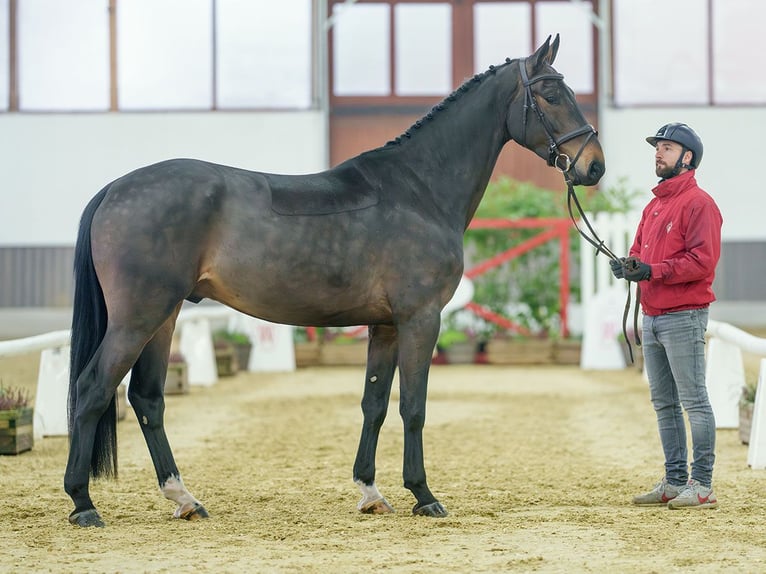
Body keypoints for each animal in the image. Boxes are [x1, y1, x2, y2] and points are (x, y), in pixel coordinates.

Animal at [66, 33, 608, 528]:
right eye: (551, 93)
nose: (594, 165)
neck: (419, 190)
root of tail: (114, 189)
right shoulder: (420, 319)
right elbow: (413, 406)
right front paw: (424, 495)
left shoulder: (385, 326)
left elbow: (375, 403)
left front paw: (371, 492)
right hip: (139, 318)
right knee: (93, 389)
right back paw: (83, 503)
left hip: (164, 316)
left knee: (147, 398)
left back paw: (184, 498)